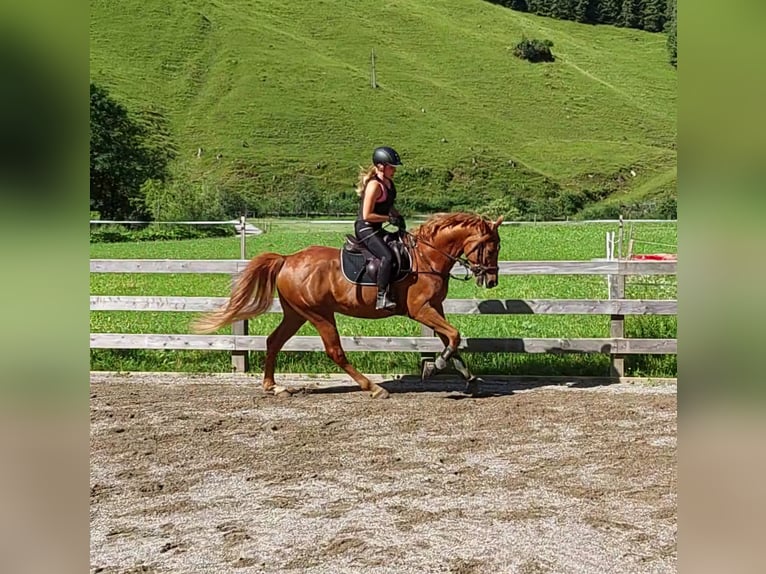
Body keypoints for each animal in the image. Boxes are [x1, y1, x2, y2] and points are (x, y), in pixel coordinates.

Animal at [193, 212, 503, 398]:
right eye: (492, 247)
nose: (491, 281)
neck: (427, 256)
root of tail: (287, 259)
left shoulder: (434, 308)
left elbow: (452, 340)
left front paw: (468, 378)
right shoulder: (421, 310)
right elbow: (453, 336)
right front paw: (435, 366)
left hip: (296, 314)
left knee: (274, 341)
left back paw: (274, 386)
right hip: (319, 314)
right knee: (335, 351)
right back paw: (373, 387)